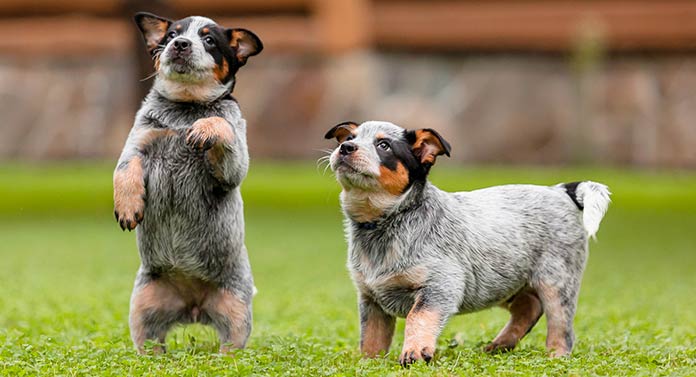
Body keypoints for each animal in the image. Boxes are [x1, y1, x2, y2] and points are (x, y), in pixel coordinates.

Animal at [114, 11, 264, 352]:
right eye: (171, 35)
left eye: (208, 39)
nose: (181, 44)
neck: (185, 108)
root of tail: (193, 307)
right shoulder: (138, 145)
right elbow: (124, 172)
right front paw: (128, 208)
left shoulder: (231, 168)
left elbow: (220, 123)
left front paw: (205, 128)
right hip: (143, 308)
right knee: (149, 343)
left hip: (236, 310)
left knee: (231, 345)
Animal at [324, 119, 612, 364]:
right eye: (349, 138)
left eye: (383, 145)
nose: (345, 147)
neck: (384, 223)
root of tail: (560, 190)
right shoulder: (370, 299)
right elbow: (370, 340)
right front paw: (368, 363)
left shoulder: (441, 286)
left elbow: (418, 316)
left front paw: (415, 351)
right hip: (498, 280)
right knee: (529, 307)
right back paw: (500, 345)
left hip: (556, 283)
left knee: (561, 328)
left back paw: (555, 356)